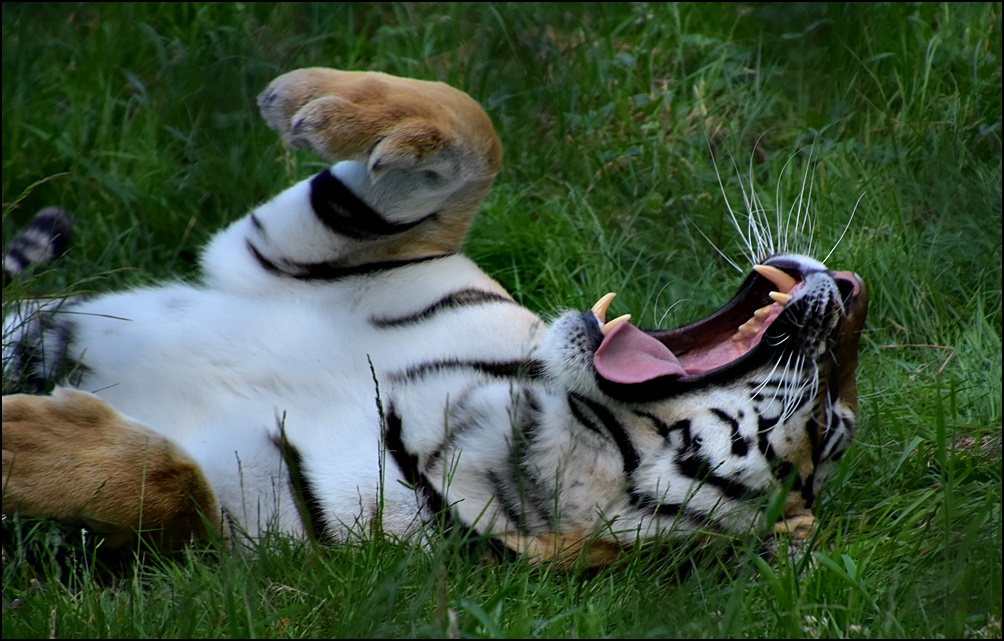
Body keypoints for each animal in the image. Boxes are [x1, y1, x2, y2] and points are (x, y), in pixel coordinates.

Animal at [0, 66, 867, 566]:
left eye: (828, 427)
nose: (855, 286)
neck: (516, 412)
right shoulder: (303, 249)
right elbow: (474, 129)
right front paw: (314, 98)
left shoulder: (247, 525)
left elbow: (169, 481)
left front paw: (23, 433)